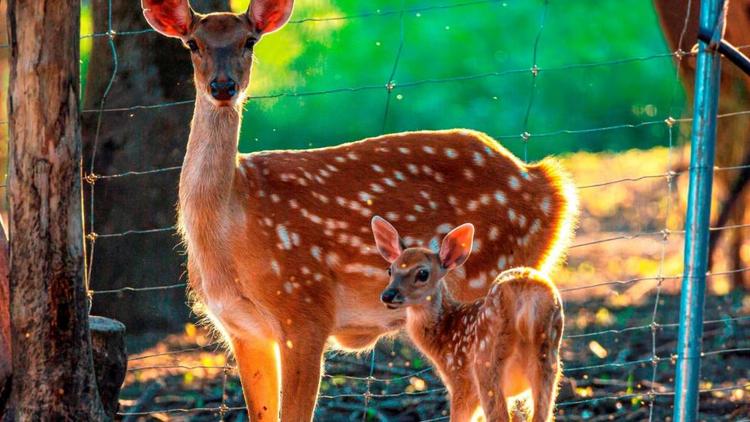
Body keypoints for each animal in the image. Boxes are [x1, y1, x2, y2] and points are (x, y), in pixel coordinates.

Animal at [374, 218, 560, 422]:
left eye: (422, 273)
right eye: (390, 270)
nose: (387, 295)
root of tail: (524, 290)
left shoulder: (461, 380)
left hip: (486, 364)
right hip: (548, 361)